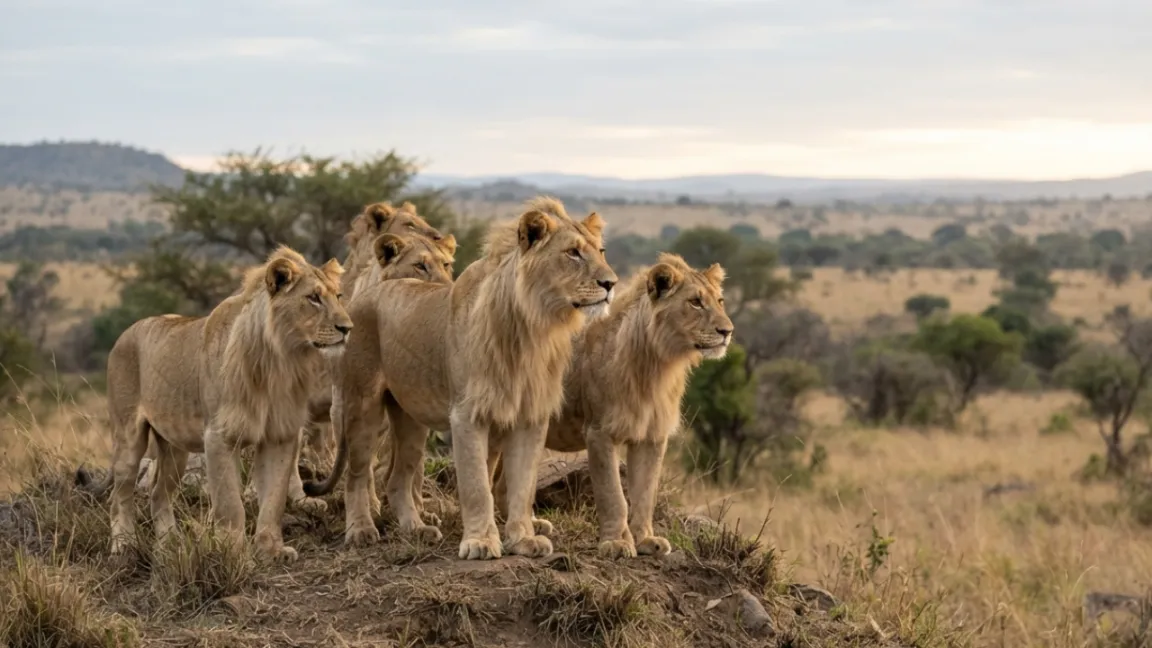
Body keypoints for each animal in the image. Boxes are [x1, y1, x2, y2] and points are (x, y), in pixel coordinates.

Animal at [77, 246, 352, 561]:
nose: (347, 327)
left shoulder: (279, 436)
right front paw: (233, 552)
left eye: (338, 296)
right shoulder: (219, 436)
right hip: (128, 439)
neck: (281, 360)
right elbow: (230, 504)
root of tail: (124, 333)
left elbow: (273, 499)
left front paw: (271, 550)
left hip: (175, 449)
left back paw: (170, 545)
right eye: (313, 298)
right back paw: (124, 546)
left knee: (159, 493)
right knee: (119, 495)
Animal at [307, 196, 617, 560]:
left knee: (397, 478)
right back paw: (361, 530)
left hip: (411, 418)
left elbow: (522, 485)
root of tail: (364, 294)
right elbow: (477, 485)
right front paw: (480, 542)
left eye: (601, 250)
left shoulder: (530, 417)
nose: (611, 284)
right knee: (357, 474)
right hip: (361, 405)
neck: (534, 327)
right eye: (573, 252)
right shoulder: (467, 414)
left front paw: (523, 539)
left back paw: (417, 529)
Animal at [492, 253, 733, 558]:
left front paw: (645, 540)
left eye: (720, 301)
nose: (727, 331)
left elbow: (645, 494)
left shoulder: (652, 436)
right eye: (695, 302)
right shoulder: (598, 432)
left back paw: (531, 526)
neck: (658, 366)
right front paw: (617, 542)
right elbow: (614, 495)